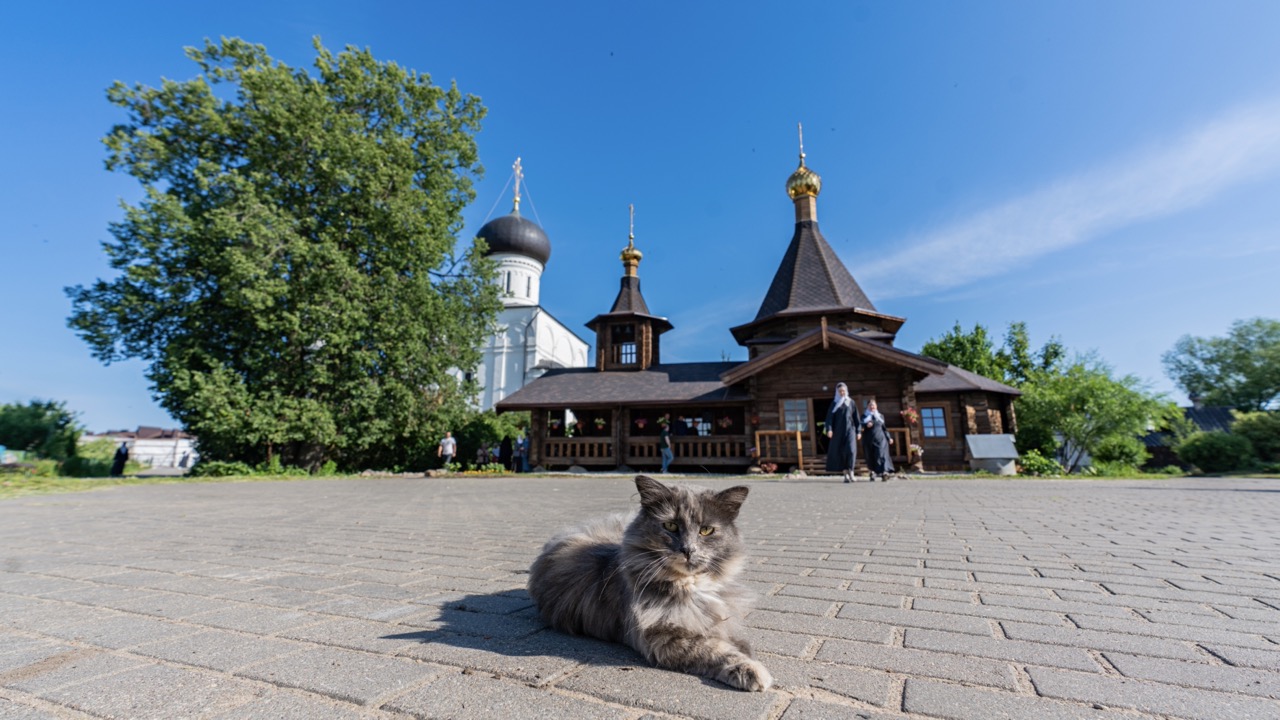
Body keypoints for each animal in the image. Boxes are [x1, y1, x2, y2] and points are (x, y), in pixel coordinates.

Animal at [527, 474, 768, 686]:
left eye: (706, 530)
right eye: (670, 526)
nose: (688, 550)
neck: (689, 584)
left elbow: (735, 640)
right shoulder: (661, 636)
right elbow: (714, 649)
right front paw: (749, 669)